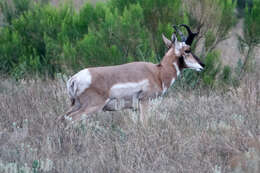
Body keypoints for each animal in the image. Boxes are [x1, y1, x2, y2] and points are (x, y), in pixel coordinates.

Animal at [61, 24, 205, 124]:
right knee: (71, 119)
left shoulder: (135, 109)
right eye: (187, 50)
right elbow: (145, 124)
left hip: (75, 105)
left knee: (62, 118)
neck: (158, 73)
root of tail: (74, 78)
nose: (202, 65)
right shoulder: (145, 102)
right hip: (92, 106)